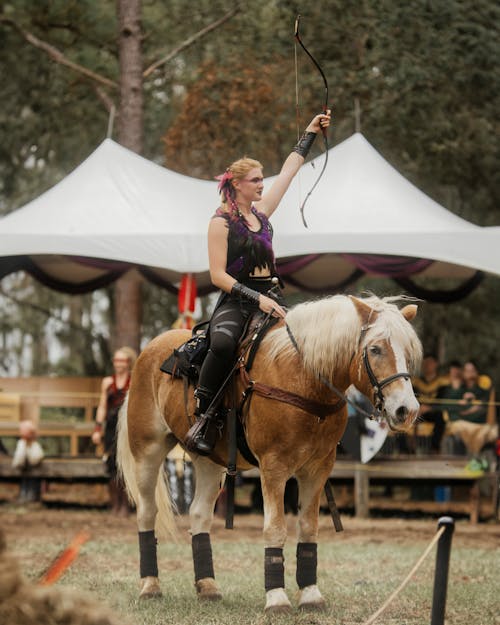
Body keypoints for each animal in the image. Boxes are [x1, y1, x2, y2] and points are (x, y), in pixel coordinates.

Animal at [117, 294, 422, 612]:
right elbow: (275, 528)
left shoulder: (318, 469)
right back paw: (150, 586)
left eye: (408, 351)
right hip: (147, 451)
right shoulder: (274, 466)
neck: (303, 378)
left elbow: (308, 527)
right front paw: (276, 597)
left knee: (199, 514)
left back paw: (208, 586)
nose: (407, 410)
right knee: (147, 512)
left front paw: (310, 594)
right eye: (375, 349)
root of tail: (148, 352)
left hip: (209, 461)